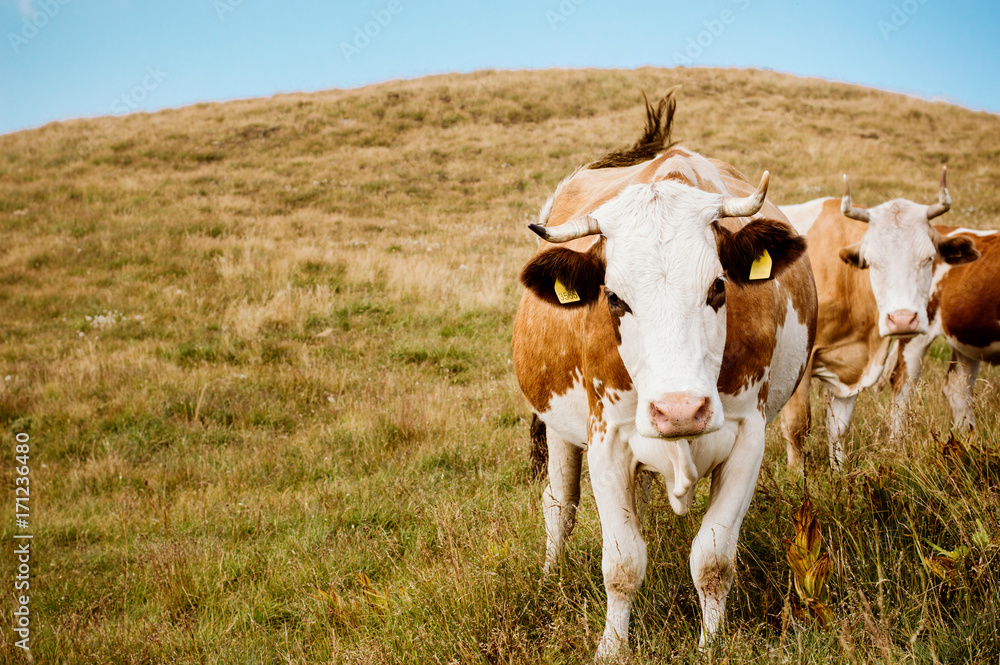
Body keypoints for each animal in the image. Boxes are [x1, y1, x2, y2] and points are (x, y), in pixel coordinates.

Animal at [512, 89, 816, 660]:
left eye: (718, 286)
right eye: (613, 297)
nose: (679, 410)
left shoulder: (749, 435)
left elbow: (712, 558)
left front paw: (711, 644)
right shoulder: (606, 439)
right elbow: (622, 562)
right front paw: (611, 647)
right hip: (559, 427)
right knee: (559, 506)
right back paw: (550, 576)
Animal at [892, 227, 1000, 436]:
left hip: (966, 338)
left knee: (957, 388)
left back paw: (966, 439)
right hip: (912, 330)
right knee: (903, 385)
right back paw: (896, 442)